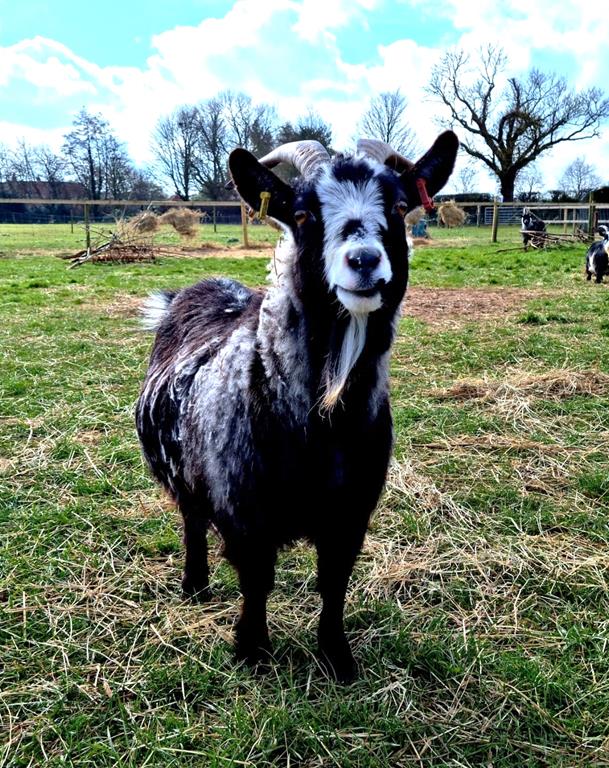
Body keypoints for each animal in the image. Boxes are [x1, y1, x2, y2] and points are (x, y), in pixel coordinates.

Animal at [135, 132, 458, 681]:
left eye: (398, 206)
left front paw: (337, 658)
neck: (321, 429)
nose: (364, 260)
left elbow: (334, 582)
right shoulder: (243, 510)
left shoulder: (351, 512)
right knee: (191, 520)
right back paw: (195, 586)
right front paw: (252, 650)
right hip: (182, 472)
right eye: (305, 214)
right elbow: (256, 580)